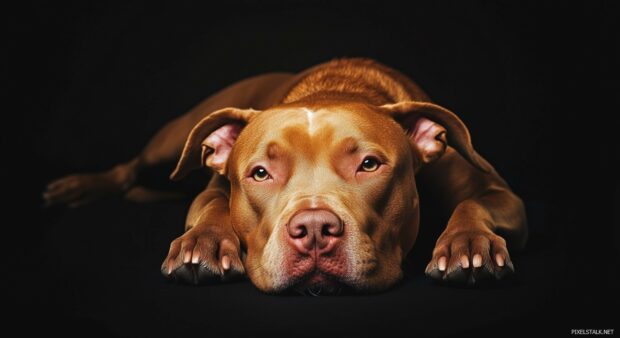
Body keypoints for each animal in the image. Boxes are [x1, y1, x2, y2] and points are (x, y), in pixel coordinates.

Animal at [43, 57, 528, 294]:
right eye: (260, 173)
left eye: (369, 165)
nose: (314, 229)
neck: (336, 88)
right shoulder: (214, 187)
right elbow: (213, 204)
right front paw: (203, 244)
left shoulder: (502, 195)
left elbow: (474, 202)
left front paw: (468, 245)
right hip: (174, 139)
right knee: (130, 168)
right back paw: (76, 186)